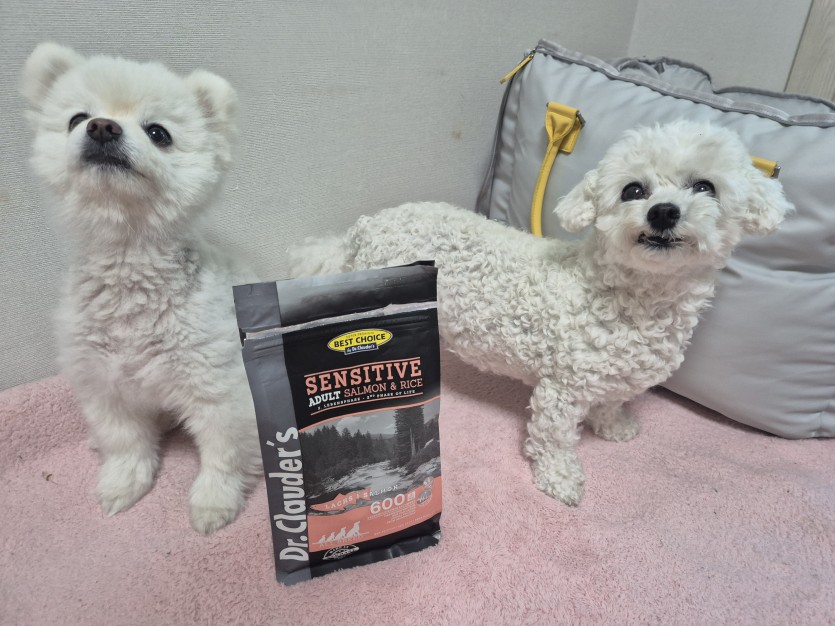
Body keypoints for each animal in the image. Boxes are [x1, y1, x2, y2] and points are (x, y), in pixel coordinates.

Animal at [22, 43, 260, 534]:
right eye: (76, 118)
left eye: (158, 133)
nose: (102, 127)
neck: (128, 264)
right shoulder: (104, 385)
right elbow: (125, 443)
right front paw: (122, 483)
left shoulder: (220, 390)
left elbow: (223, 455)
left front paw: (214, 502)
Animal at [288, 121, 794, 505]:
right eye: (633, 190)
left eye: (705, 186)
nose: (663, 212)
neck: (628, 296)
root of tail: (366, 226)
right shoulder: (560, 390)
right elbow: (553, 439)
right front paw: (560, 479)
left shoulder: (614, 376)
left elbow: (611, 402)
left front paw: (614, 426)